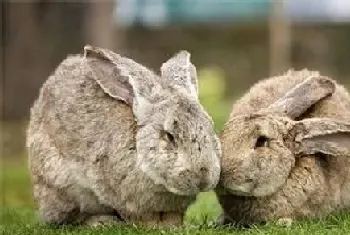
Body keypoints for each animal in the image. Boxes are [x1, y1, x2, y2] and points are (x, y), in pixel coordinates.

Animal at [26, 45, 220, 227]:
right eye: (169, 135)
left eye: (210, 128)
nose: (203, 177)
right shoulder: (124, 199)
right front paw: (153, 227)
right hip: (61, 186)